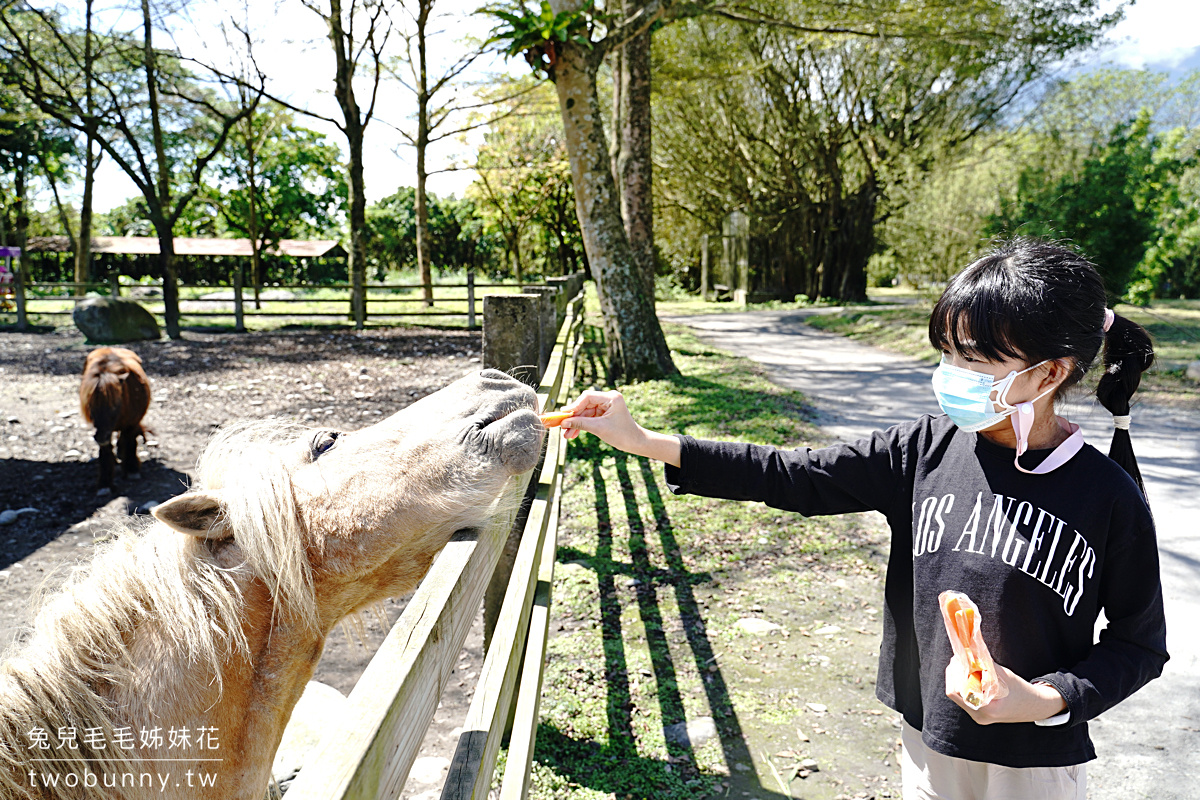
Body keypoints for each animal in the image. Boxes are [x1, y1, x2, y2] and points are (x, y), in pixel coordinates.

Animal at [79, 347, 152, 491]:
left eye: (115, 405)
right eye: (91, 407)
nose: (100, 438)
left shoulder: (131, 424)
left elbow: (130, 443)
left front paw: (132, 470)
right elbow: (106, 451)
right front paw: (105, 483)